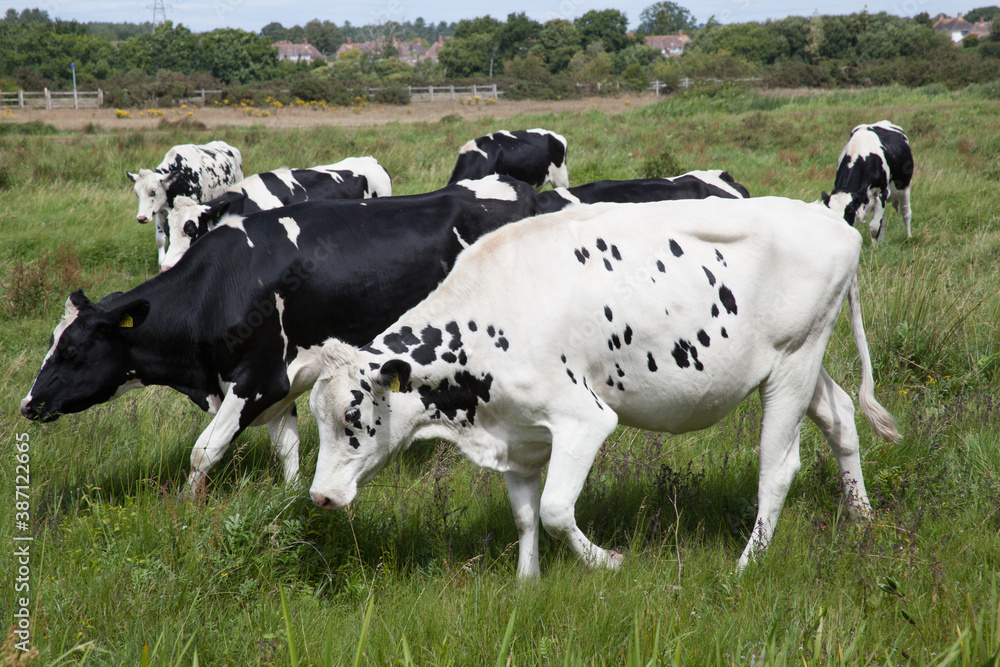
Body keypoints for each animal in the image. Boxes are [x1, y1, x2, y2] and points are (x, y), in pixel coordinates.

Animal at [17, 175, 540, 494]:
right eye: (52, 343)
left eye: (72, 348)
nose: (27, 403)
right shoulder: (282, 386)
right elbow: (285, 450)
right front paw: (288, 500)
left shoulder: (256, 379)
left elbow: (205, 450)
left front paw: (186, 507)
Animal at [308, 197, 904, 580]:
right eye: (317, 417)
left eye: (352, 418)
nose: (319, 497)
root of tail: (833, 222)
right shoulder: (518, 436)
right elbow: (525, 515)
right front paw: (527, 584)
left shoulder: (584, 420)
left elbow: (554, 510)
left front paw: (608, 562)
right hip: (798, 362)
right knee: (841, 415)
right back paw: (862, 518)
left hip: (793, 363)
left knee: (777, 468)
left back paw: (746, 565)